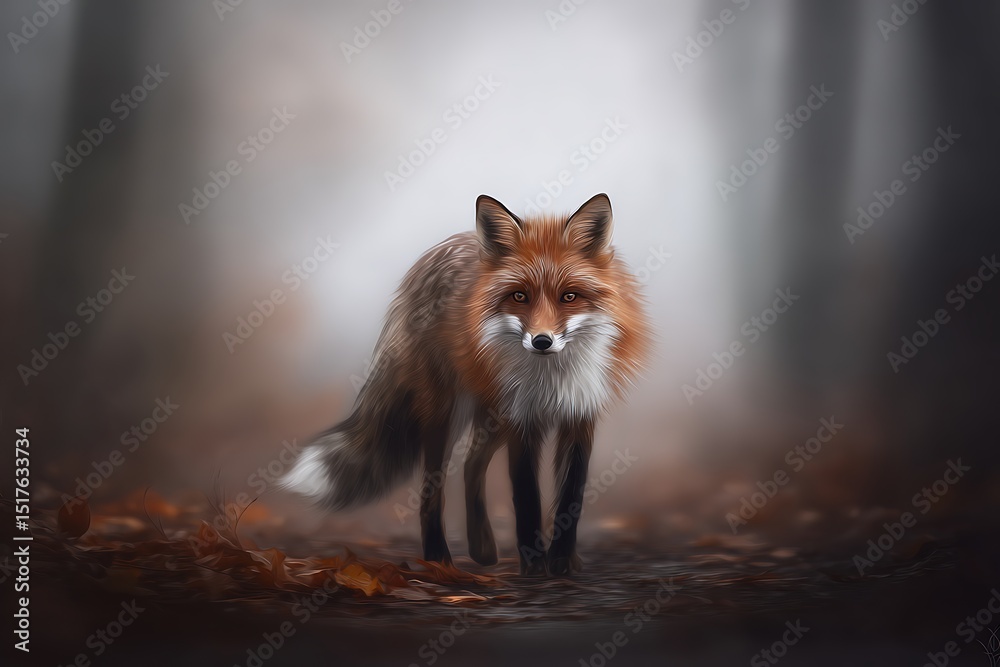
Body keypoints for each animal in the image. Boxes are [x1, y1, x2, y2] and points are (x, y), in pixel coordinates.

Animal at [281, 193, 651, 575]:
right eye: (519, 296)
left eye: (569, 297)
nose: (541, 341)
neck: (551, 378)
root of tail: (434, 255)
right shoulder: (522, 420)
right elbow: (527, 499)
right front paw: (534, 567)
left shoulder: (579, 415)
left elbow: (571, 498)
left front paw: (562, 562)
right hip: (443, 413)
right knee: (432, 487)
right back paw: (437, 558)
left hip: (491, 415)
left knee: (472, 465)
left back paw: (482, 547)